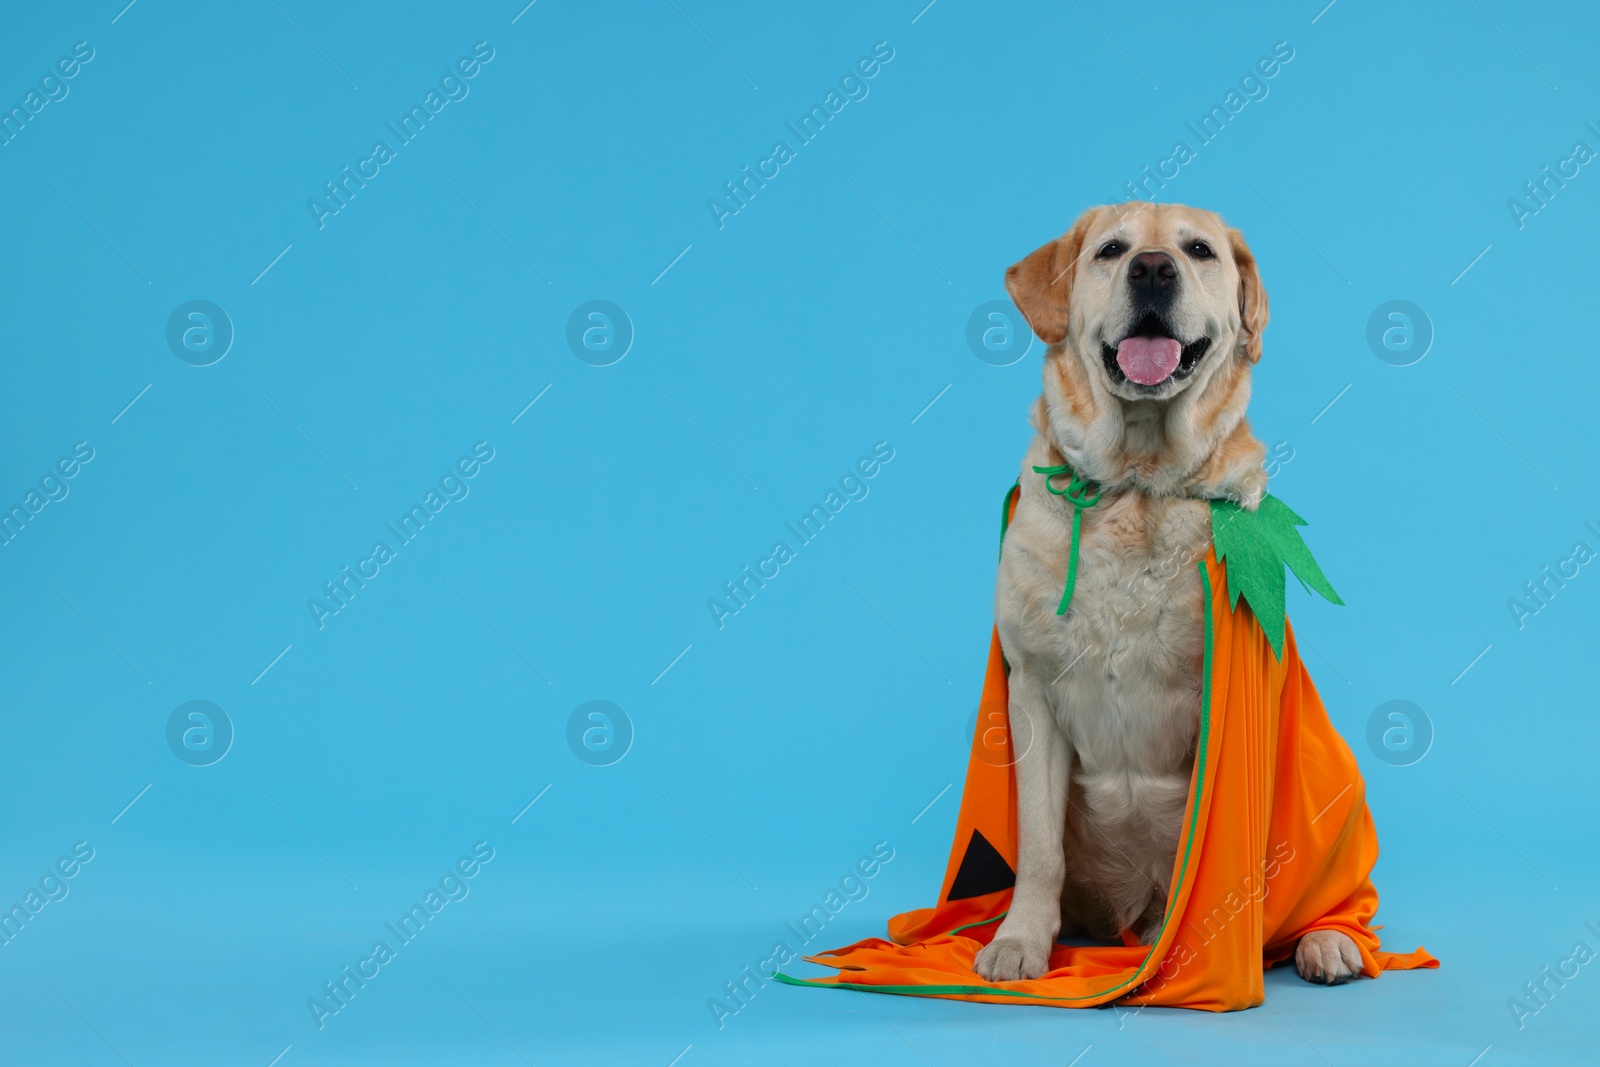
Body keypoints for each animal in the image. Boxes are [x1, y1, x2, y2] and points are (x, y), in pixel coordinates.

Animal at [966, 204, 1356, 991]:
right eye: (1112, 250)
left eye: (1198, 250)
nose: (1151, 269)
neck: (1136, 486)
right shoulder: (1031, 691)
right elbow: (1039, 847)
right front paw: (1021, 940)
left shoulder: (1225, 697)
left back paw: (1324, 941)